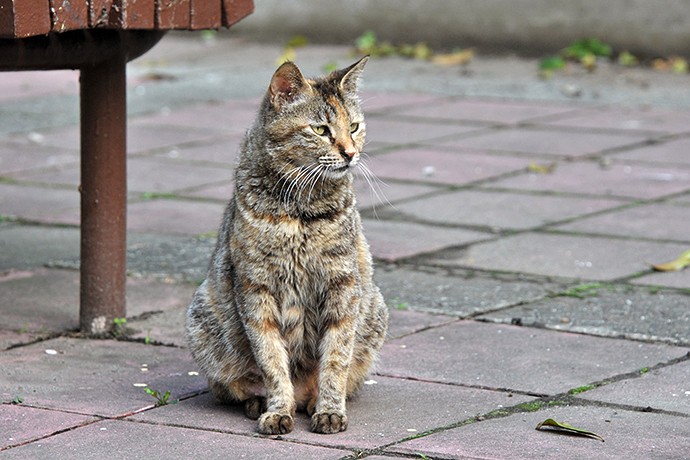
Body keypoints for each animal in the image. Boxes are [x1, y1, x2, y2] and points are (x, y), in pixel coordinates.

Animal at [183, 57, 388, 434]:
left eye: (354, 127)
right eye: (321, 130)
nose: (351, 153)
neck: (300, 212)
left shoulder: (342, 285)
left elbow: (335, 358)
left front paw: (330, 410)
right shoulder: (255, 289)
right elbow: (271, 358)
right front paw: (278, 409)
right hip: (203, 320)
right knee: (233, 387)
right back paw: (260, 403)